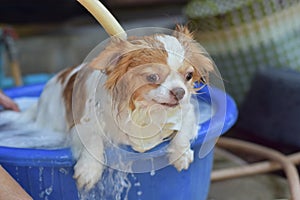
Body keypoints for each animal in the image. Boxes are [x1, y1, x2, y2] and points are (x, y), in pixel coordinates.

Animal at [24, 25, 214, 191]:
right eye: (152, 77)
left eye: (188, 76)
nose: (180, 92)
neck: (144, 112)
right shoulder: (82, 125)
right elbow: (93, 141)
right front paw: (89, 170)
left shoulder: (186, 112)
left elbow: (183, 131)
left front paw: (181, 155)